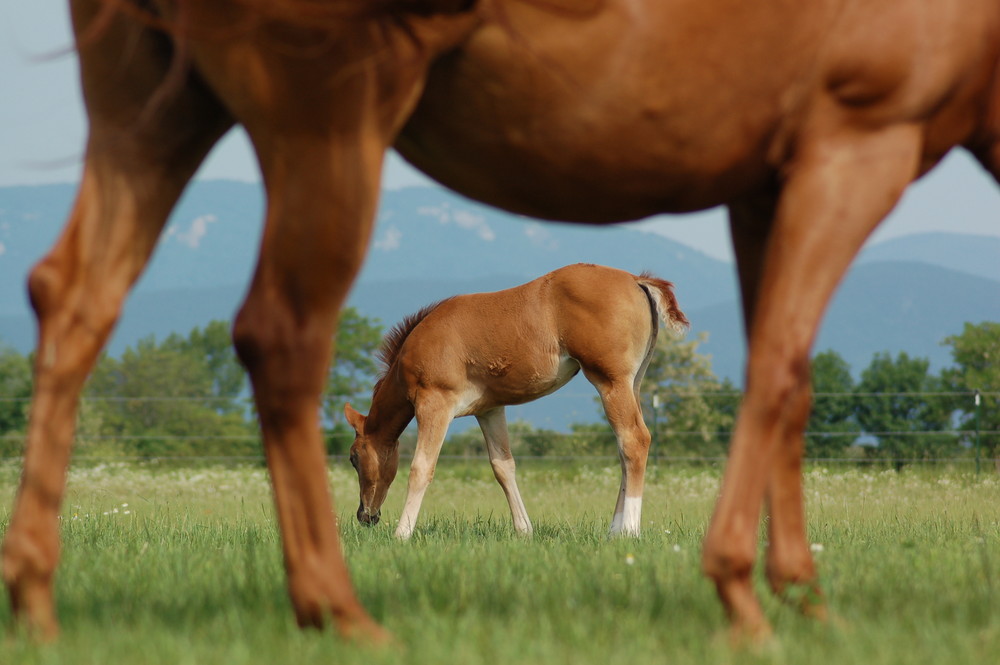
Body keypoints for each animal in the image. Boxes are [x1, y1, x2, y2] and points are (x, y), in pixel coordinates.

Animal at [344, 262, 688, 536]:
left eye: (353, 457)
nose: (365, 516)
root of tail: (636, 279)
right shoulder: (490, 409)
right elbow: (503, 466)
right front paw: (524, 530)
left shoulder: (435, 404)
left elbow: (421, 468)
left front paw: (402, 534)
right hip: (633, 383)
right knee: (624, 448)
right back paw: (614, 529)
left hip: (611, 382)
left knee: (634, 441)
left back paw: (627, 530)